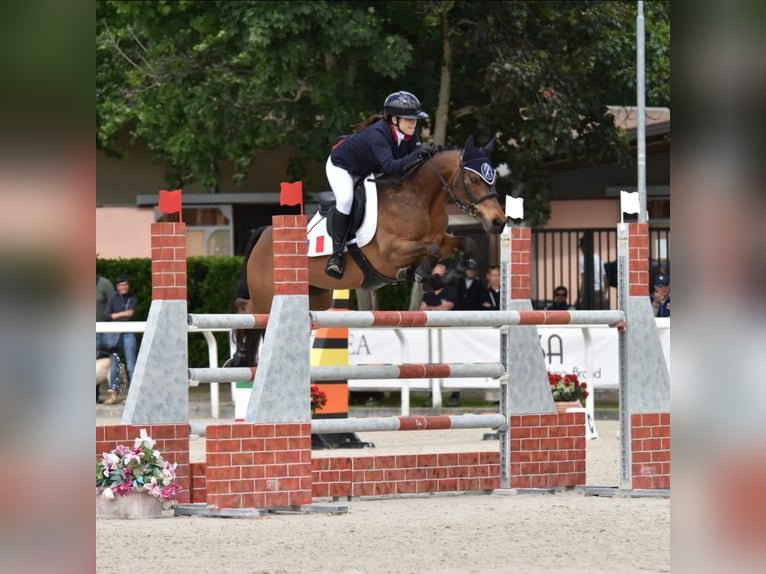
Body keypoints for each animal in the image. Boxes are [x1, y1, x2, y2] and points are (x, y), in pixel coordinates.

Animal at [225, 136, 508, 368]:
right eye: (473, 179)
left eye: (493, 177)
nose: (499, 222)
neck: (421, 201)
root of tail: (264, 232)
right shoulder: (389, 254)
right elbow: (432, 249)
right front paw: (424, 274)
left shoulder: (441, 238)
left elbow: (463, 244)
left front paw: (445, 275)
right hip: (267, 295)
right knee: (247, 310)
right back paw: (238, 357)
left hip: (316, 296)